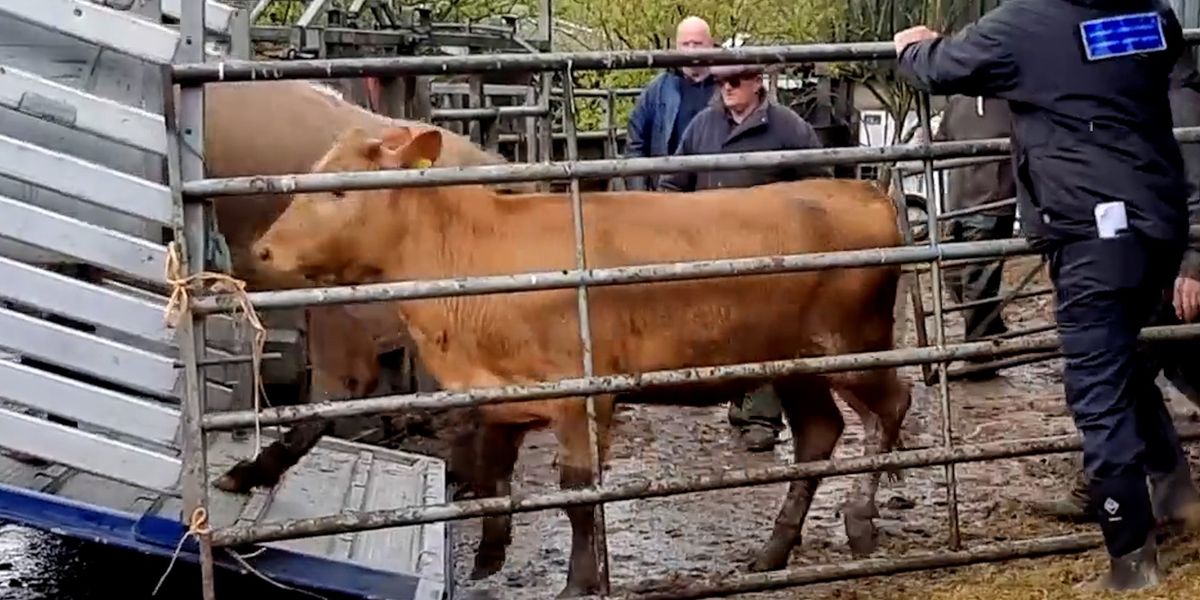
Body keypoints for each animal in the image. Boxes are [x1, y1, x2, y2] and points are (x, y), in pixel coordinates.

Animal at [235, 124, 914, 597]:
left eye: (340, 189)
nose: (261, 250)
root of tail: (859, 188)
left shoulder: (583, 393)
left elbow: (578, 494)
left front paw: (580, 581)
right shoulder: (497, 395)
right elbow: (493, 478)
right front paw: (488, 556)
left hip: (853, 344)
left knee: (891, 406)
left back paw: (859, 521)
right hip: (791, 363)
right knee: (820, 434)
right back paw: (773, 551)